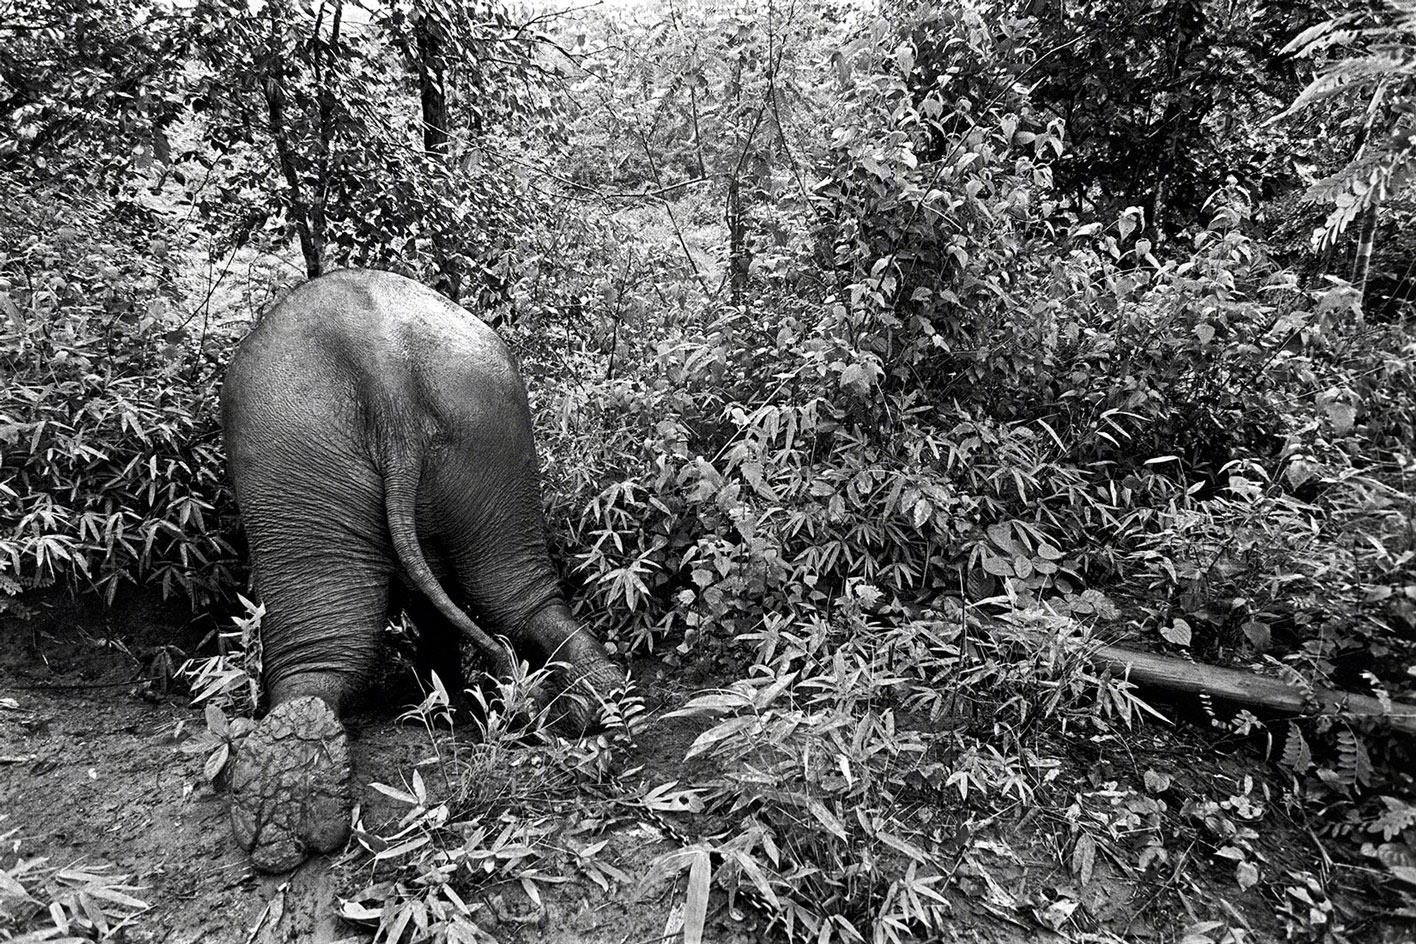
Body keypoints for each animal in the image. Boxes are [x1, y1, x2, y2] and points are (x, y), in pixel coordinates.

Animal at [220, 266, 620, 871]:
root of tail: (379, 361)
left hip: (289, 452)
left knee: (329, 636)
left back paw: (282, 803)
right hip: (488, 422)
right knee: (518, 594)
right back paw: (595, 698)